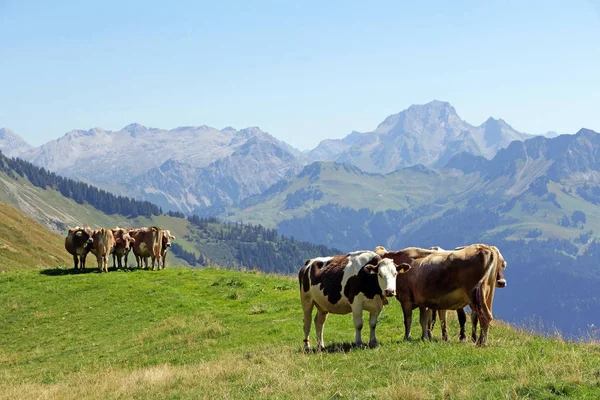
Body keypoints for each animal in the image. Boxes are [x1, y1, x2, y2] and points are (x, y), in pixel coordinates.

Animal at [378, 244, 508, 346]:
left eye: (394, 273)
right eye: (380, 273)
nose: (389, 291)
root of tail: (484, 247)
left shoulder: (405, 299)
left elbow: (408, 320)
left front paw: (407, 338)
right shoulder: (422, 301)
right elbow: (424, 320)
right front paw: (425, 338)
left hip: (476, 294)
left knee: (484, 316)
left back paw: (481, 343)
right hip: (487, 294)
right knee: (486, 316)